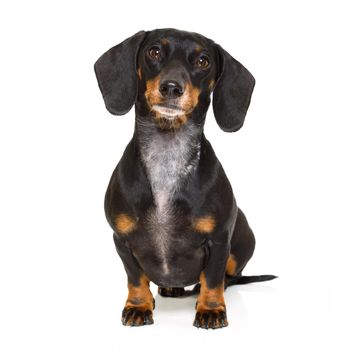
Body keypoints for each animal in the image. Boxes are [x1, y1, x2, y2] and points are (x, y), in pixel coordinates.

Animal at [93, 28, 276, 330]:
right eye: (154, 51)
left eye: (203, 61)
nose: (171, 87)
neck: (167, 156)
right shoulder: (122, 239)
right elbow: (135, 278)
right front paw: (138, 306)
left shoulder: (219, 241)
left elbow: (212, 279)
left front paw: (211, 310)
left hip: (244, 242)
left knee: (226, 278)